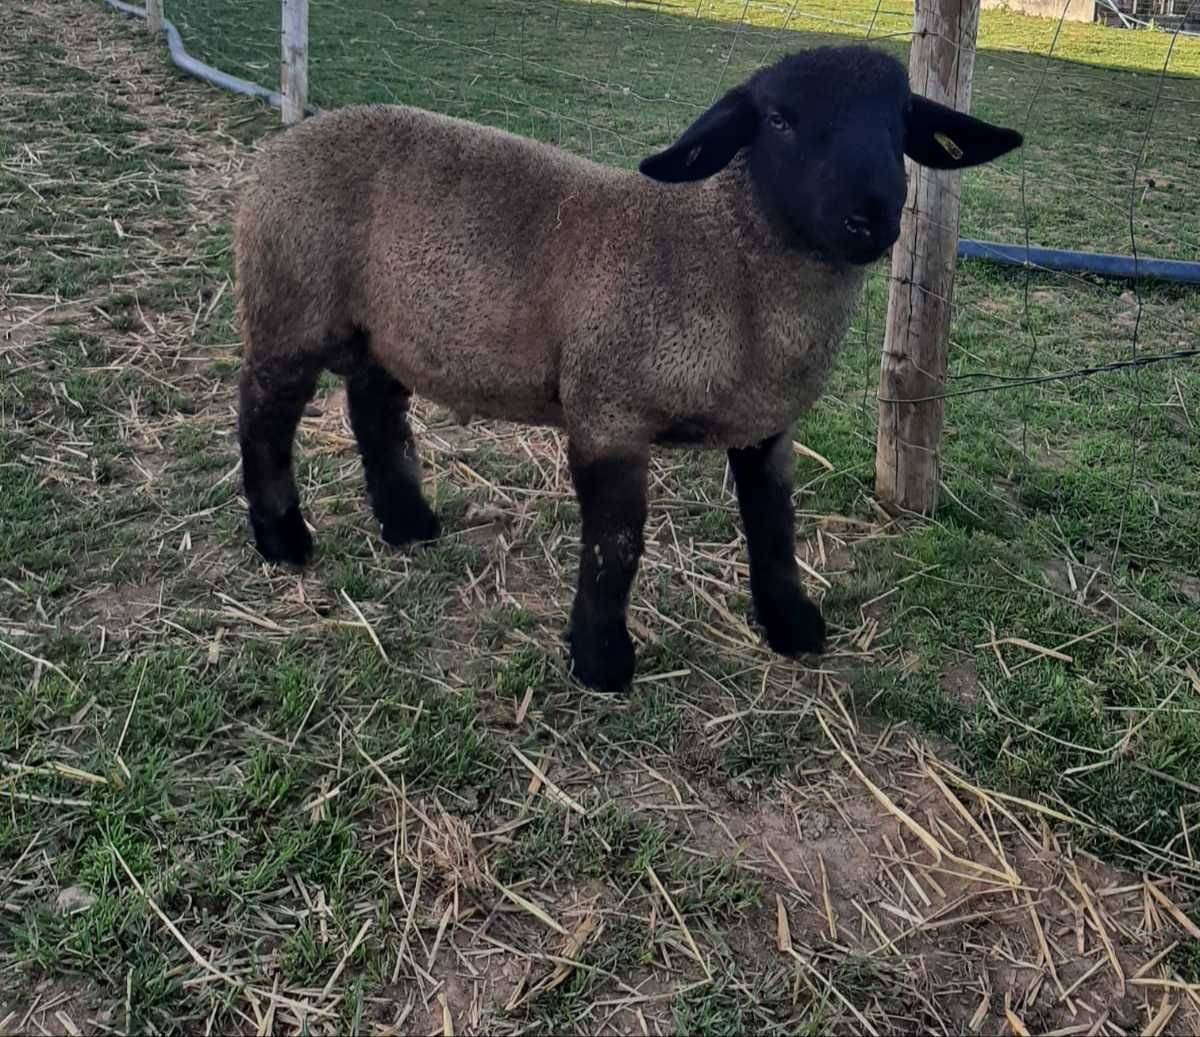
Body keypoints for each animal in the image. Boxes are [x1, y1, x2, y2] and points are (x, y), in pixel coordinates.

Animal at [234, 42, 1022, 686]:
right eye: (777, 120)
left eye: (901, 121)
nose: (872, 216)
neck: (726, 262)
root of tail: (285, 141)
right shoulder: (608, 409)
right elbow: (617, 542)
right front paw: (601, 658)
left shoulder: (765, 425)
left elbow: (773, 527)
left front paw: (792, 626)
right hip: (290, 303)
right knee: (263, 413)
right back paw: (283, 538)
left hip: (387, 326)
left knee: (373, 406)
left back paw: (407, 523)